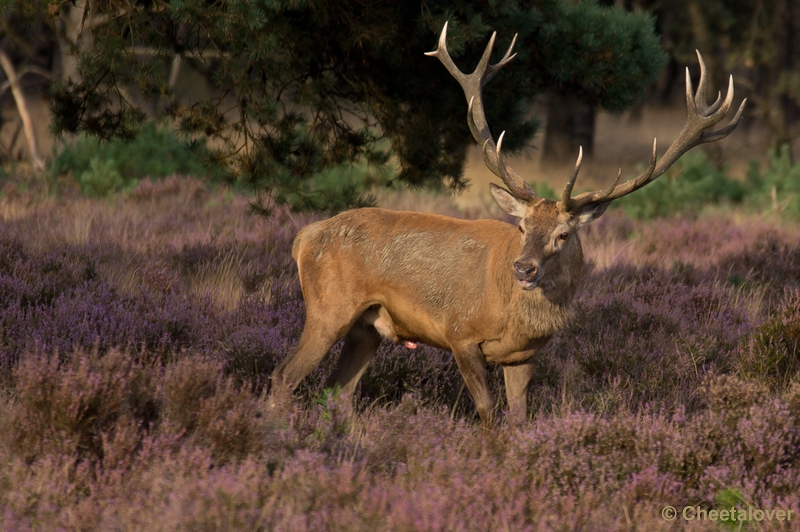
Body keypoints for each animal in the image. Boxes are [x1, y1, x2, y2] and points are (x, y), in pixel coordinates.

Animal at [272, 22, 748, 428]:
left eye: (563, 234)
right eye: (521, 228)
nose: (524, 268)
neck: (513, 317)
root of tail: (302, 238)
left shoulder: (524, 356)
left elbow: (520, 416)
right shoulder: (460, 331)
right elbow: (486, 409)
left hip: (368, 327)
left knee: (336, 391)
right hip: (329, 307)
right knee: (285, 376)